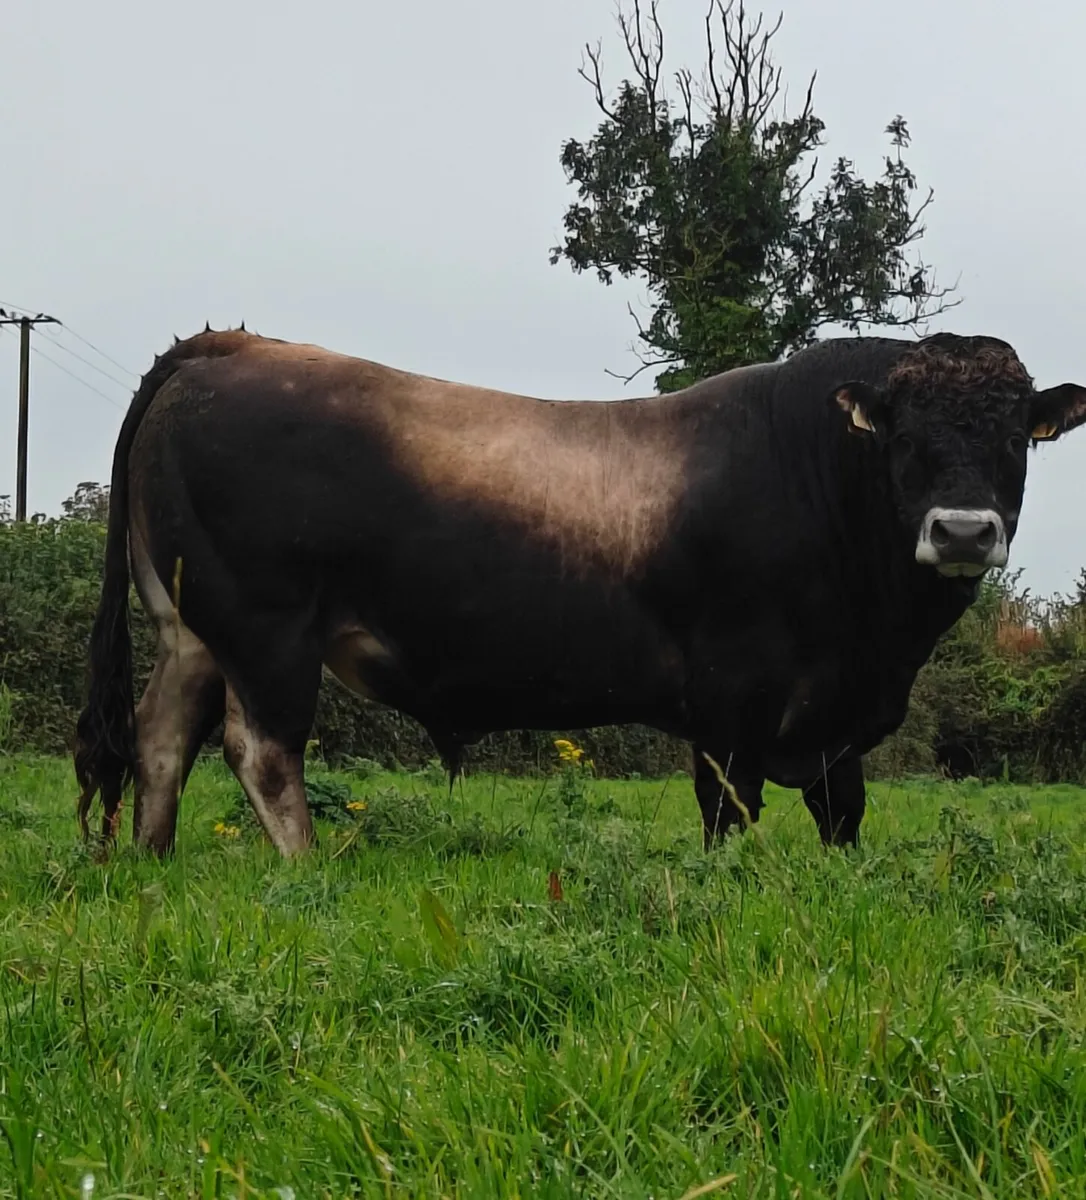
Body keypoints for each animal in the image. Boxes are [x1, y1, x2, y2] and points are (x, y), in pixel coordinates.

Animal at [74, 327, 1086, 857]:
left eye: (1015, 436)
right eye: (905, 437)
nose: (963, 530)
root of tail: (228, 348)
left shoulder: (833, 721)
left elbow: (843, 814)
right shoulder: (732, 698)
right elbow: (729, 813)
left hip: (189, 627)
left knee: (160, 736)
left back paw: (155, 861)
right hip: (269, 629)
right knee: (260, 750)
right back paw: (305, 867)